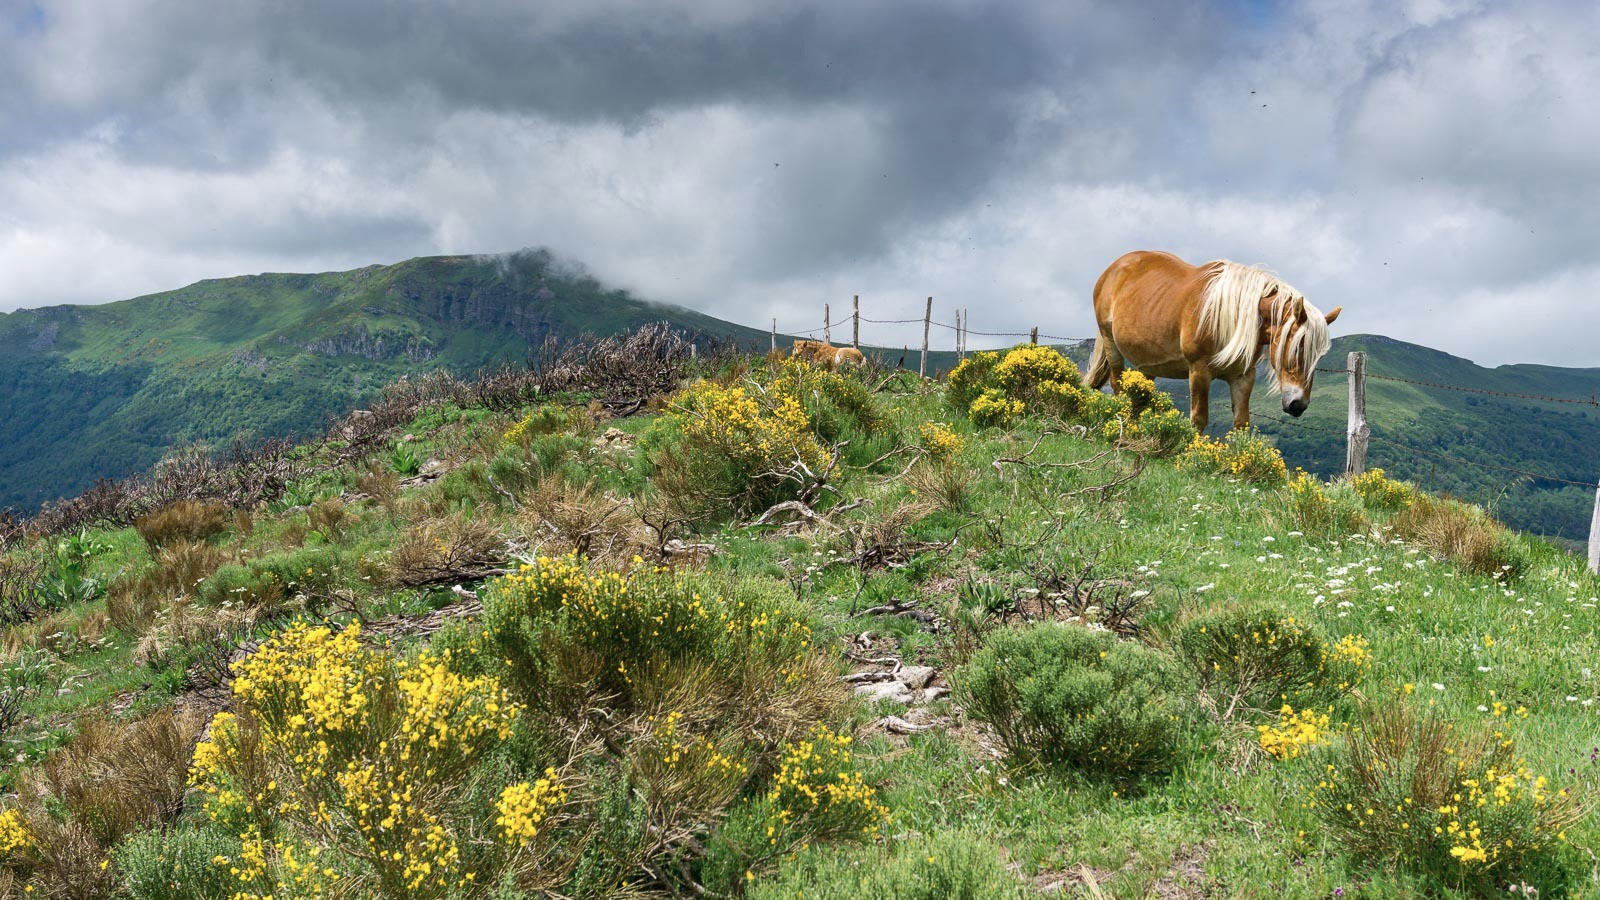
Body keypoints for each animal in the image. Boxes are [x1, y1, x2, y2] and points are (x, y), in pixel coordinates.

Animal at [1088, 248, 1337, 432]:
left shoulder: (1243, 376)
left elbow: (1241, 424)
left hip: (1145, 364)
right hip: (1111, 345)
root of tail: (1113, 269)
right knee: (1118, 387)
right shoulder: (1199, 371)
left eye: (1318, 358)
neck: (1232, 318)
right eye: (1297, 348)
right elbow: (1198, 419)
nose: (1298, 405)